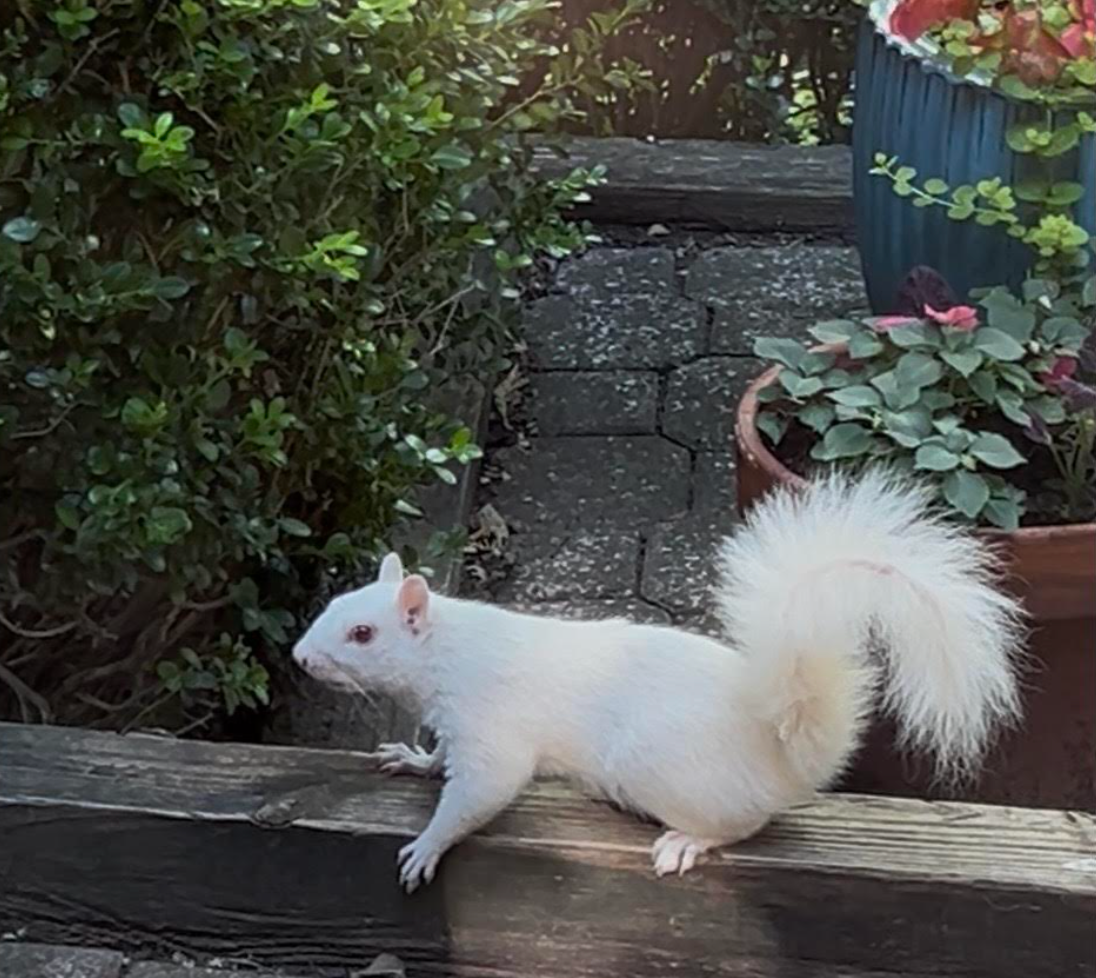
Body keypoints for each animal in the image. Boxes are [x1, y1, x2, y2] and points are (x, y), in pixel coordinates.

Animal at [293, 469, 1025, 893]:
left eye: (363, 634)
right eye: (335, 606)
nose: (300, 659)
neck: (448, 651)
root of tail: (787, 759)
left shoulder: (491, 729)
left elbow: (480, 792)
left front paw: (427, 846)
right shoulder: (454, 724)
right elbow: (440, 759)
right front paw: (411, 758)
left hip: (658, 769)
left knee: (743, 823)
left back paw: (688, 841)